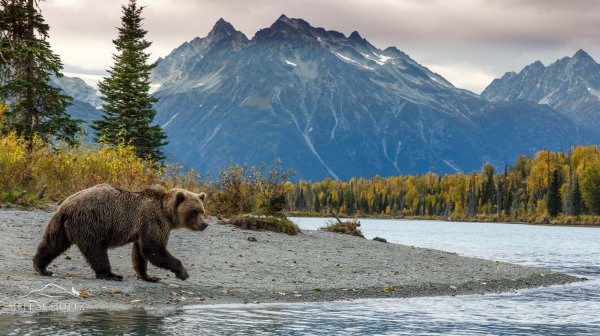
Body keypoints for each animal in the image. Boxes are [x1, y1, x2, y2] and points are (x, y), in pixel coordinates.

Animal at [32, 184, 207, 280]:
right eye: (194, 211)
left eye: (202, 210)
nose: (204, 224)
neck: (167, 213)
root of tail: (66, 206)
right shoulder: (153, 220)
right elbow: (154, 249)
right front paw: (183, 272)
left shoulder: (142, 228)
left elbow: (140, 253)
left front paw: (149, 277)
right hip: (91, 223)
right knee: (96, 251)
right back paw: (110, 274)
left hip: (60, 225)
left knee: (52, 243)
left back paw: (41, 267)